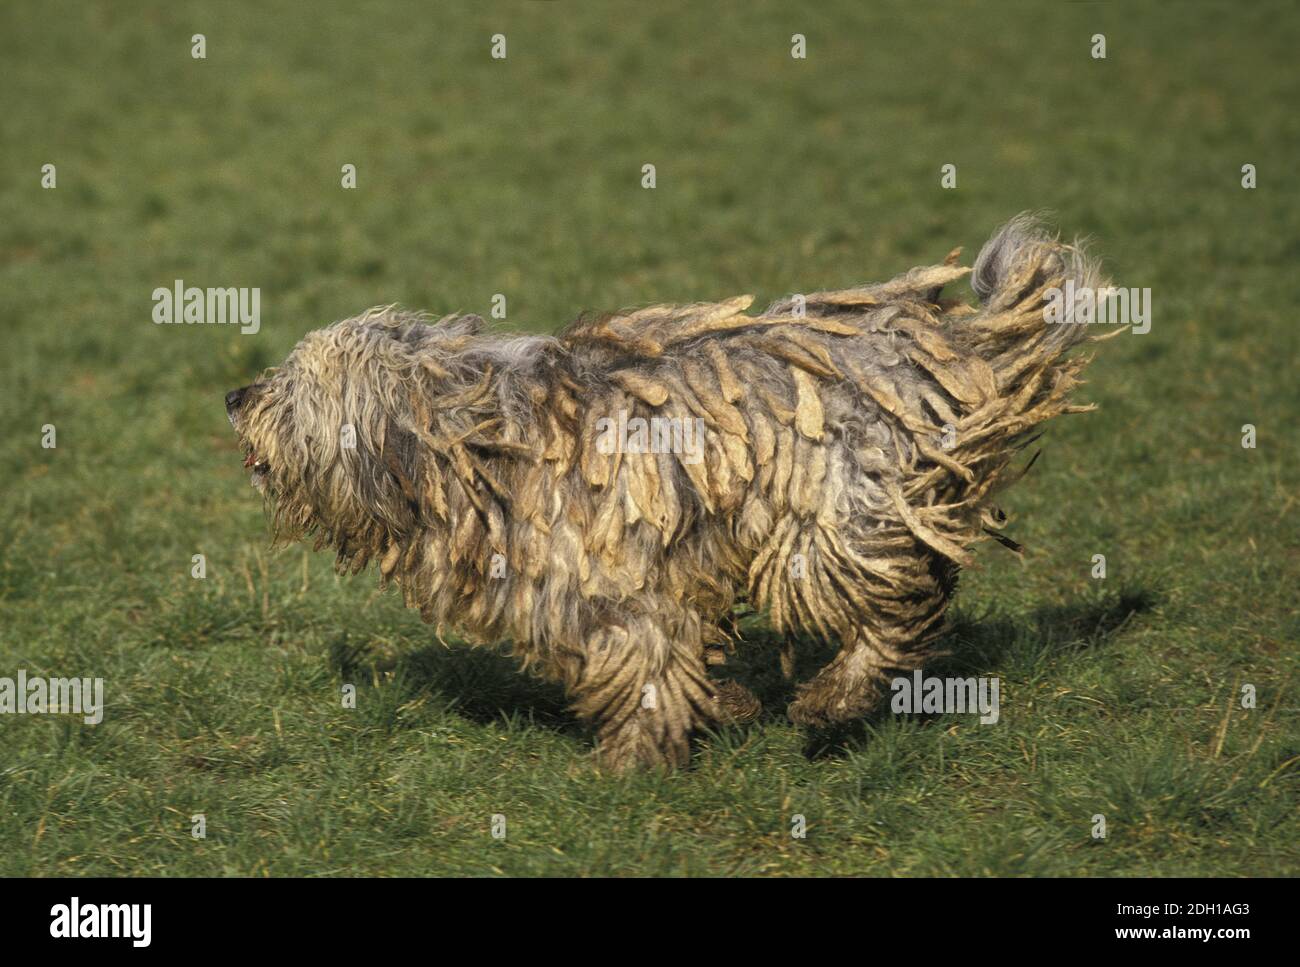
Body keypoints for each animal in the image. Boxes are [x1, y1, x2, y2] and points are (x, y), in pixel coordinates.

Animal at [228, 217, 1102, 769]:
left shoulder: (612, 576)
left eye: (295, 385)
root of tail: (944, 342)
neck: (469, 442)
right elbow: (665, 653)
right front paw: (723, 705)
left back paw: (832, 697)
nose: (236, 395)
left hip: (829, 520)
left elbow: (645, 657)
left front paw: (632, 758)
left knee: (898, 599)